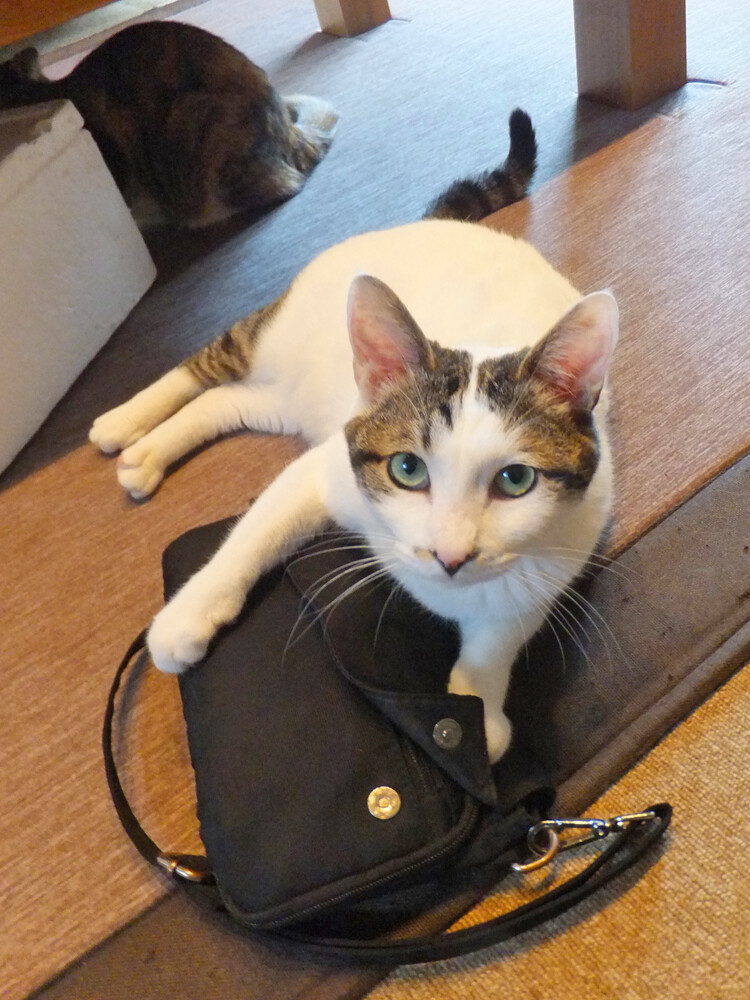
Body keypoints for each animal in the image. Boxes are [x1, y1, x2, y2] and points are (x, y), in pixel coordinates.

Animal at [90, 114, 618, 765]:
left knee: (227, 400)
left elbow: (502, 631)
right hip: (277, 340)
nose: (450, 556)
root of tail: (427, 225)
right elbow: (251, 537)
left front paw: (480, 707)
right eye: (407, 470)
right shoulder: (325, 472)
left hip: (292, 402)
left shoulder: (558, 556)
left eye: (515, 480)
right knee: (209, 363)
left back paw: (145, 454)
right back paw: (123, 423)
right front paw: (185, 619)